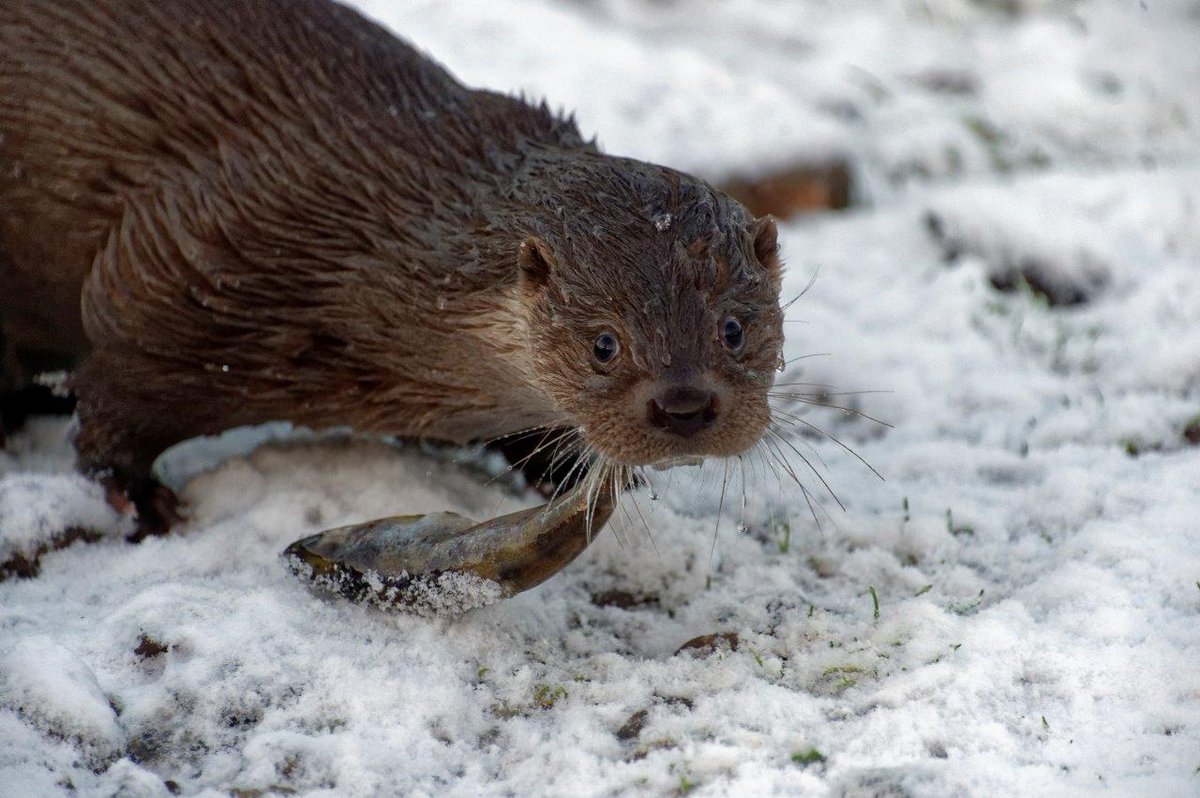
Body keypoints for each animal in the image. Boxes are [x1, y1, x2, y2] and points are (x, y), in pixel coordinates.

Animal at [0, 0, 784, 537]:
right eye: (604, 343)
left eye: (735, 329)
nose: (685, 405)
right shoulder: (187, 273)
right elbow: (113, 405)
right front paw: (143, 501)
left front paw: (563, 467)